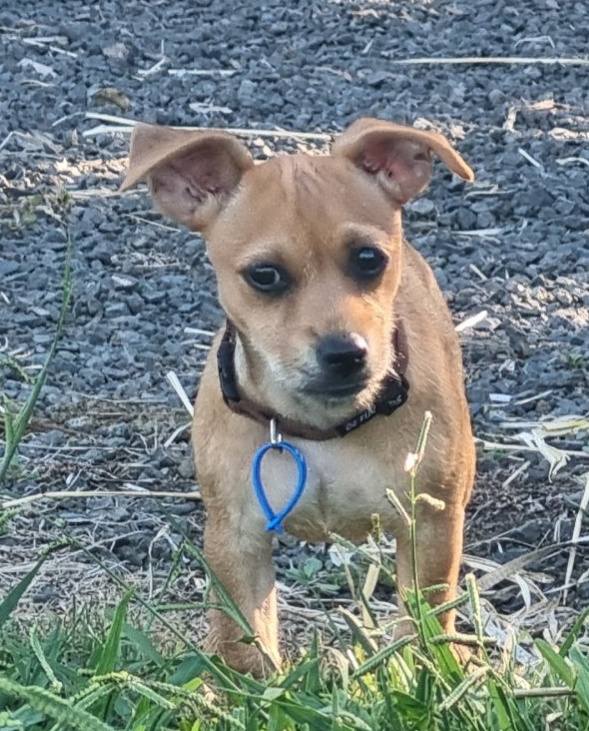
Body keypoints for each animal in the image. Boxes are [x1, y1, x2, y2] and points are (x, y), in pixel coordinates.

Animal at [121, 117, 476, 675]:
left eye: (369, 259)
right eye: (264, 275)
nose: (345, 352)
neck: (322, 427)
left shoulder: (430, 523)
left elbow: (423, 624)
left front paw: (425, 672)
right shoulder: (236, 539)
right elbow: (245, 646)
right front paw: (258, 689)